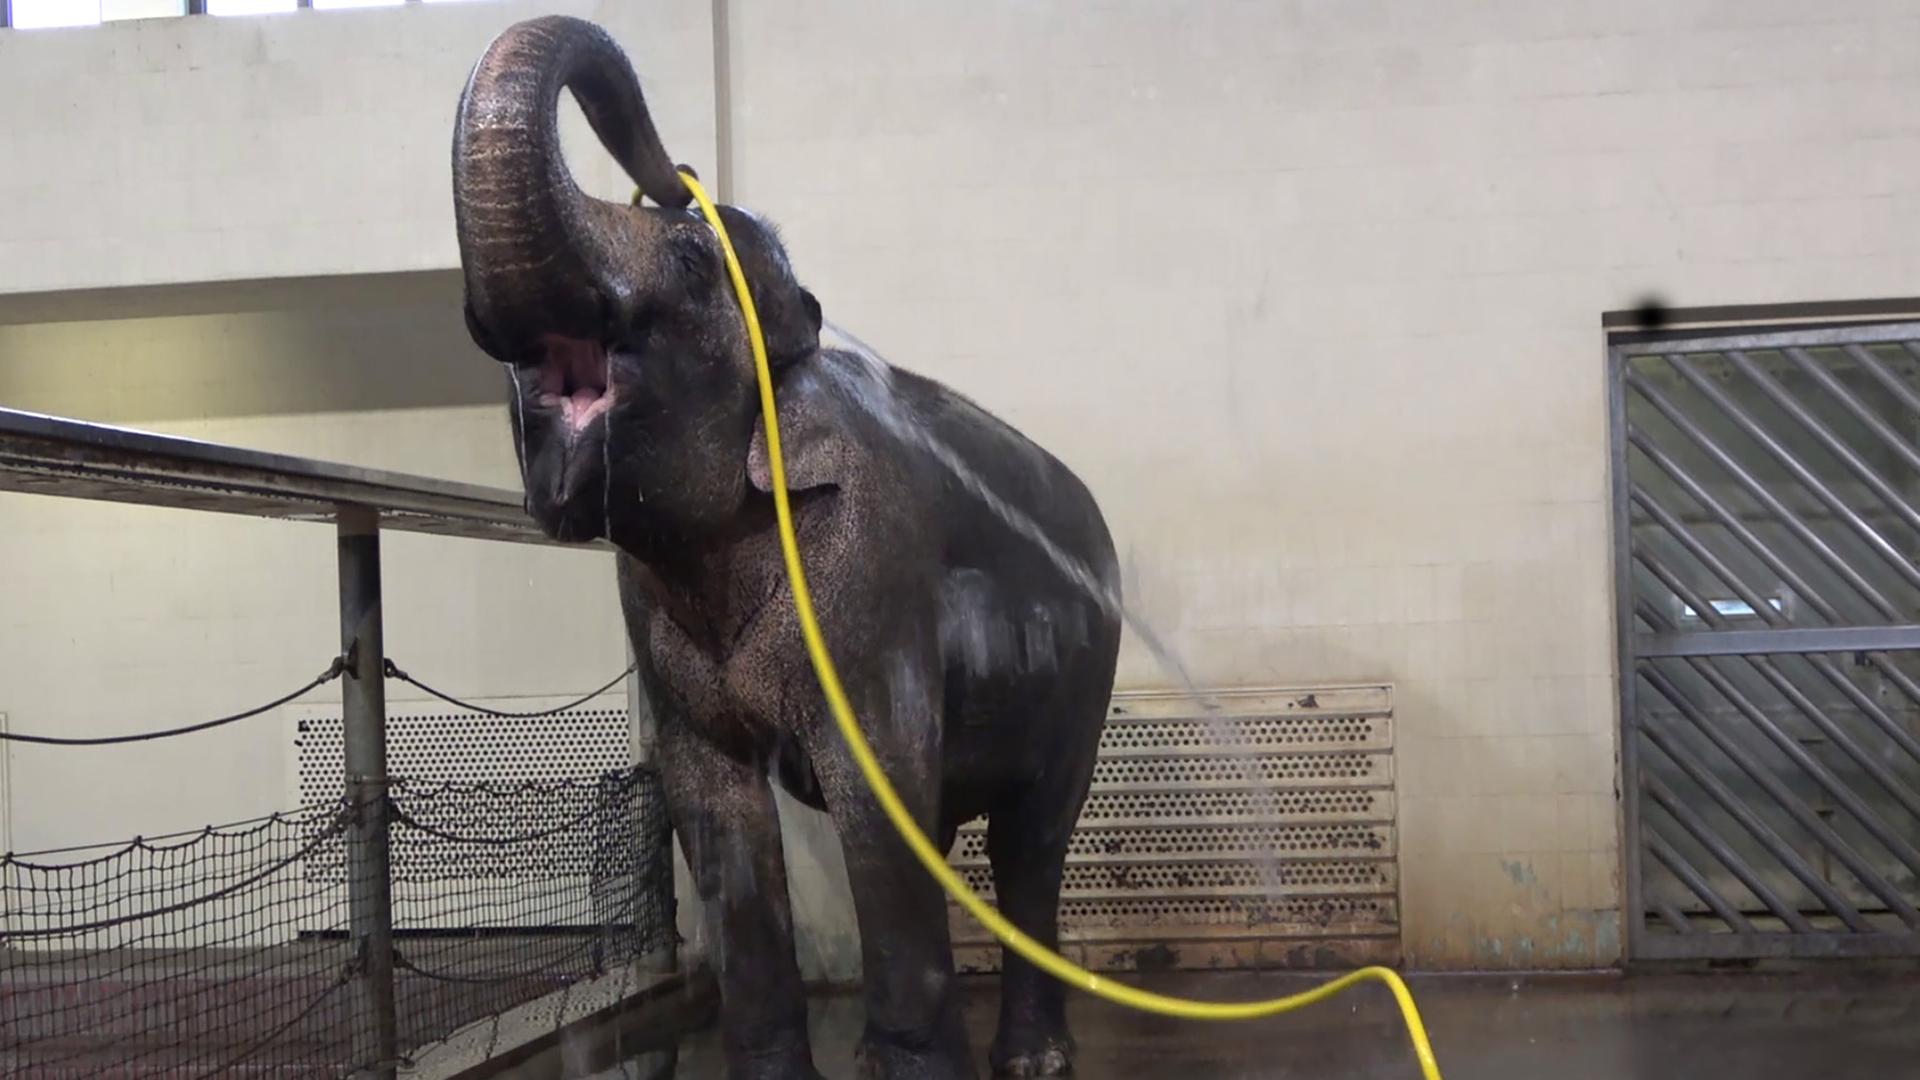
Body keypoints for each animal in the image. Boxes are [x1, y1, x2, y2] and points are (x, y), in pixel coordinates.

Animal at [451, 16, 1121, 1076]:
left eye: (693, 261)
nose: (674, 172)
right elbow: (714, 810)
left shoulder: (871, 572)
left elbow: (881, 797)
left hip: (1087, 676)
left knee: (1033, 841)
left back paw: (1035, 1058)